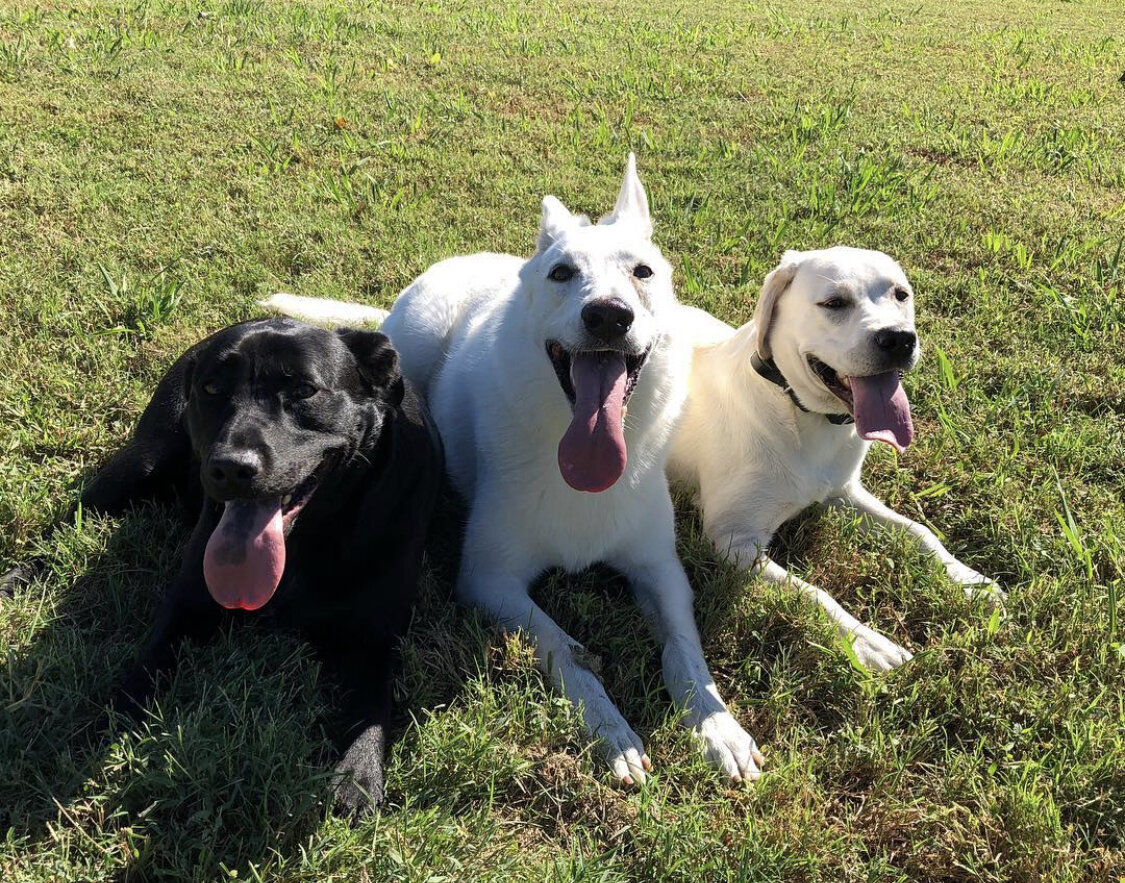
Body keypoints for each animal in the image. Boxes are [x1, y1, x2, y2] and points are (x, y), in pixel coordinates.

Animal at [77, 317, 438, 818]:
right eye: (211, 388)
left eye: (304, 390)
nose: (230, 467)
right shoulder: (188, 602)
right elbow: (148, 662)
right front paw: (111, 716)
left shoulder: (375, 633)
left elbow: (371, 705)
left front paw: (357, 776)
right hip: (142, 460)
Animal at [258, 156, 760, 778]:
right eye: (562, 273)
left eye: (642, 273)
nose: (608, 316)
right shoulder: (489, 578)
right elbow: (566, 649)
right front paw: (611, 730)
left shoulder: (661, 568)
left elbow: (684, 650)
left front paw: (717, 726)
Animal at [666, 244, 1003, 670]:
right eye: (834, 303)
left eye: (901, 295)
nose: (899, 339)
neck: (800, 413)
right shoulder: (733, 539)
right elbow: (813, 594)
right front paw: (866, 641)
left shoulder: (842, 494)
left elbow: (919, 532)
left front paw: (969, 580)